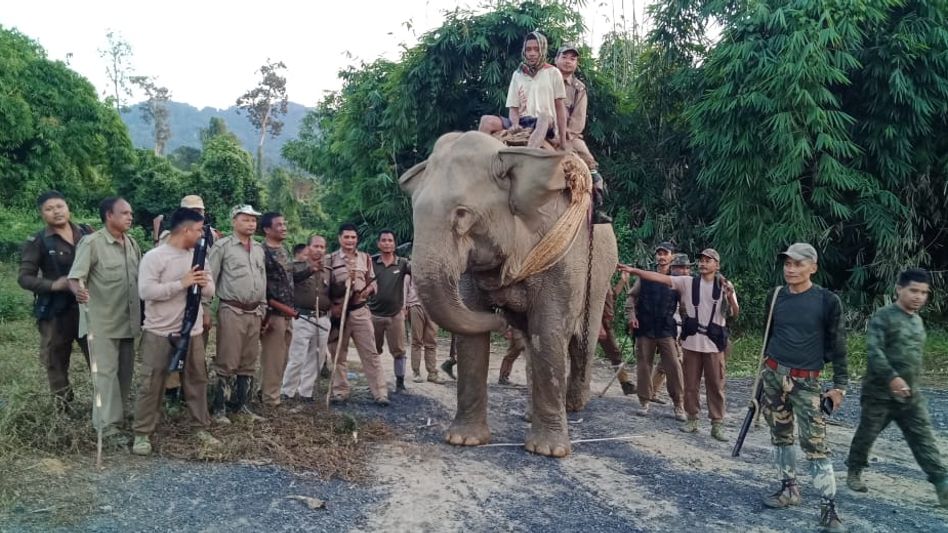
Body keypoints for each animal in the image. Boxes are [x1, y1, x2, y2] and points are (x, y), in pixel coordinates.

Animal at [399, 130, 619, 457]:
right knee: (532, 343)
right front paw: (464, 440)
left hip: (601, 273)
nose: (502, 316)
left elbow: (549, 329)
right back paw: (533, 413)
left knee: (581, 342)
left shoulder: (563, 255)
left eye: (462, 214)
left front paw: (548, 451)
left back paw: (574, 406)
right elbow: (473, 336)